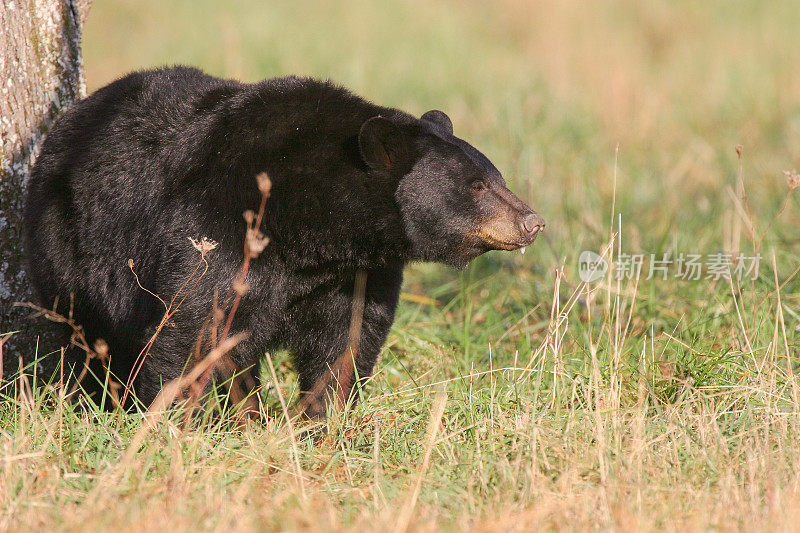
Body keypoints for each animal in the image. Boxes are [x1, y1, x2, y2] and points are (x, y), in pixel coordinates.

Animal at [23, 66, 544, 416]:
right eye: (477, 186)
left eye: (496, 177)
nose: (532, 222)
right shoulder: (216, 227)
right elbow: (190, 327)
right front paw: (173, 420)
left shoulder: (358, 270)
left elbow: (348, 339)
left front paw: (321, 419)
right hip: (70, 250)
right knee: (86, 336)